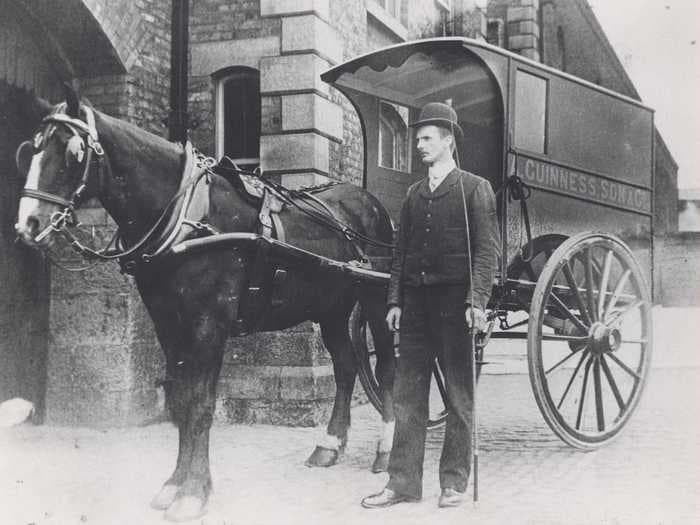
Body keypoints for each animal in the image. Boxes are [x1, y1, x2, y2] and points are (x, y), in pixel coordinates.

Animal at [13, 86, 400, 520]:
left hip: (376, 301)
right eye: (32, 149)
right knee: (347, 368)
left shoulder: (208, 322)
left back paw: (387, 450)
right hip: (331, 307)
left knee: (386, 368)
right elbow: (181, 400)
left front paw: (194, 492)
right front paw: (174, 484)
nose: (27, 224)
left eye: (72, 151)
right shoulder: (168, 322)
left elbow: (200, 403)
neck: (188, 215)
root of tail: (368, 201)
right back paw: (330, 444)